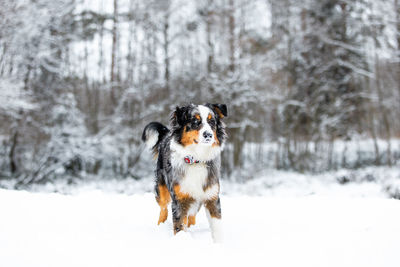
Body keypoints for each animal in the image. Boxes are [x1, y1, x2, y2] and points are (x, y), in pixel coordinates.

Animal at [142, 103, 227, 244]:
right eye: (195, 121)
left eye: (212, 122)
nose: (208, 135)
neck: (197, 160)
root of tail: (166, 135)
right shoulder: (180, 199)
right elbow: (179, 225)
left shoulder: (212, 197)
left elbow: (217, 227)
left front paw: (220, 244)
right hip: (162, 187)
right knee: (163, 207)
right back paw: (161, 224)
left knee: (191, 215)